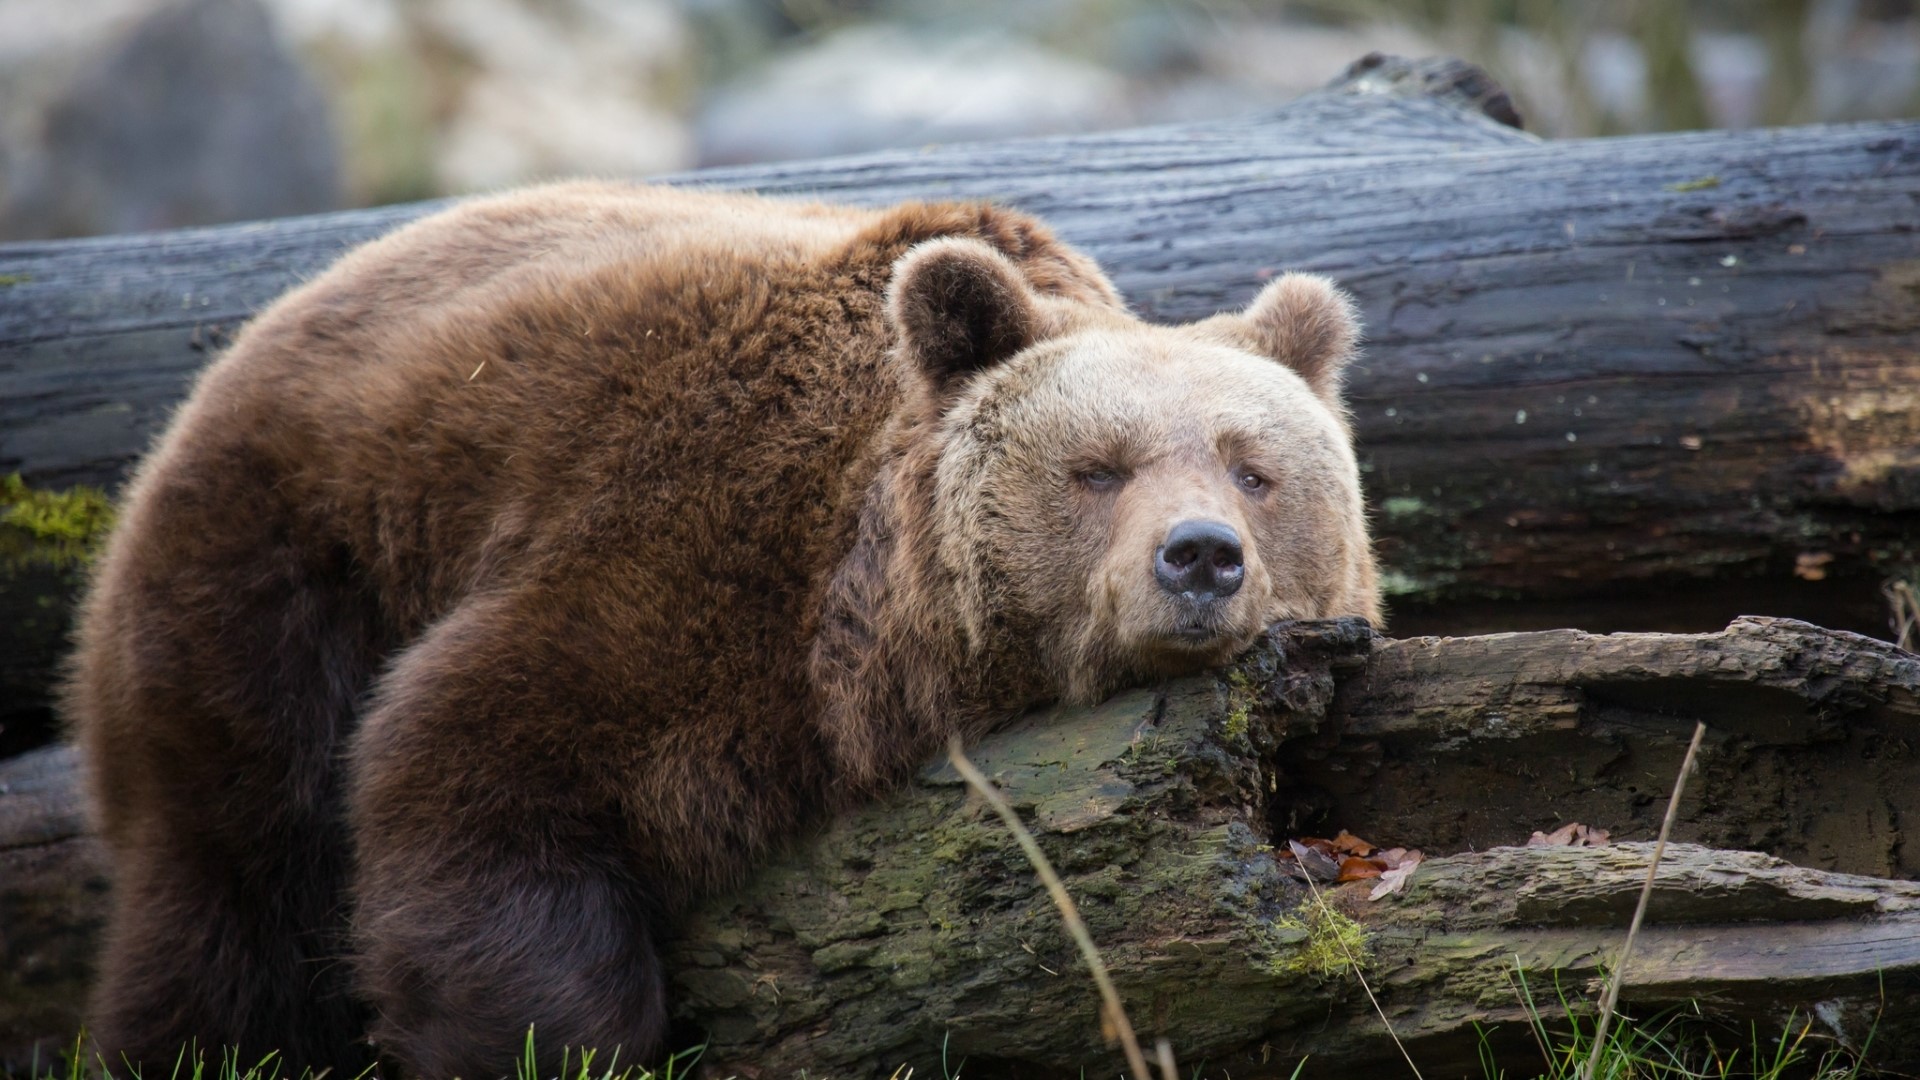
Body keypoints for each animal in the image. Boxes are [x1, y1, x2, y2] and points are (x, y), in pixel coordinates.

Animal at [64, 181, 1378, 1079]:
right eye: (1098, 468)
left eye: (1254, 469)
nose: (1199, 556)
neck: (871, 631)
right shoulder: (681, 558)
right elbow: (470, 772)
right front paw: (548, 1035)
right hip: (279, 575)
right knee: (233, 889)